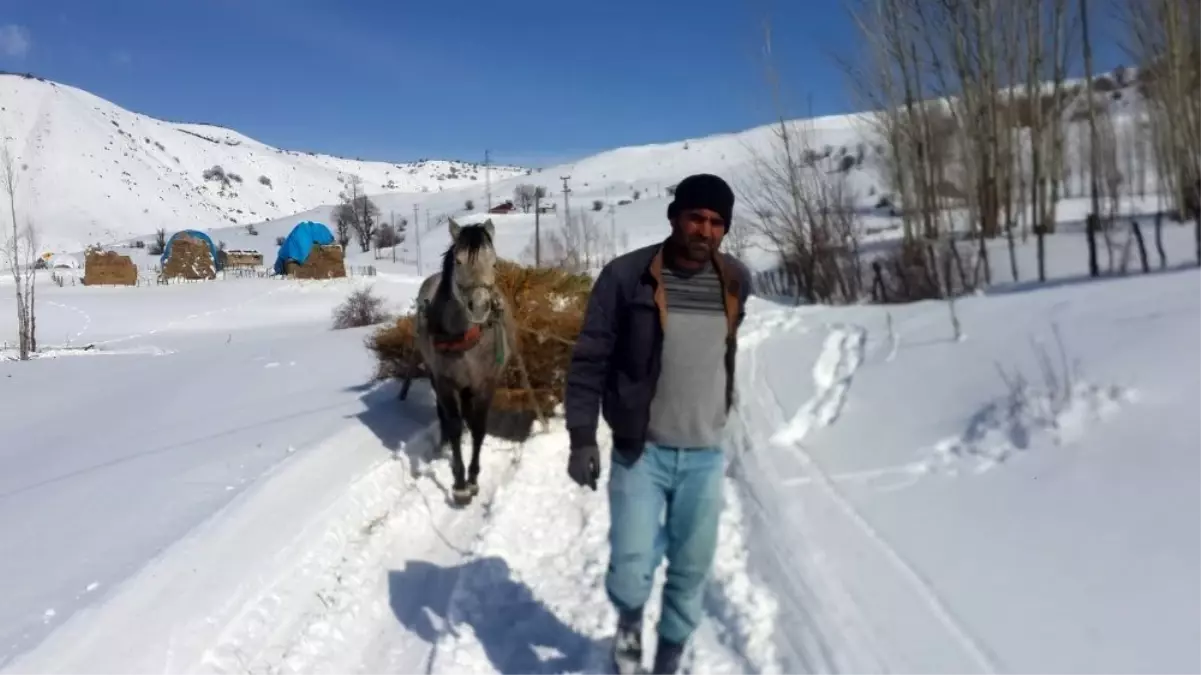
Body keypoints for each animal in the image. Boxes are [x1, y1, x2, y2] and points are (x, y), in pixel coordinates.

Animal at [415, 218, 514, 502]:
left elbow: (479, 426)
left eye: (494, 262)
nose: (479, 307)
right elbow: (454, 426)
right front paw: (459, 483)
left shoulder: (485, 383)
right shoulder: (446, 383)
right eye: (458, 261)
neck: (466, 338)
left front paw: (473, 478)